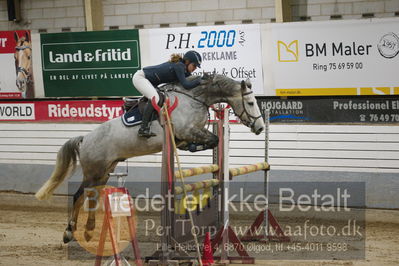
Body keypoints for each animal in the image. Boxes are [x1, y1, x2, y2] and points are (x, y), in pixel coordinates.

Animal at [35, 73, 266, 243]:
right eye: (251, 103)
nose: (260, 128)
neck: (195, 98)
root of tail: (85, 139)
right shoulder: (187, 130)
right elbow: (214, 138)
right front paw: (195, 145)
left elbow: (213, 140)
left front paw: (193, 147)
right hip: (93, 172)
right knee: (78, 197)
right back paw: (68, 233)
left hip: (104, 173)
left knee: (92, 197)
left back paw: (89, 231)